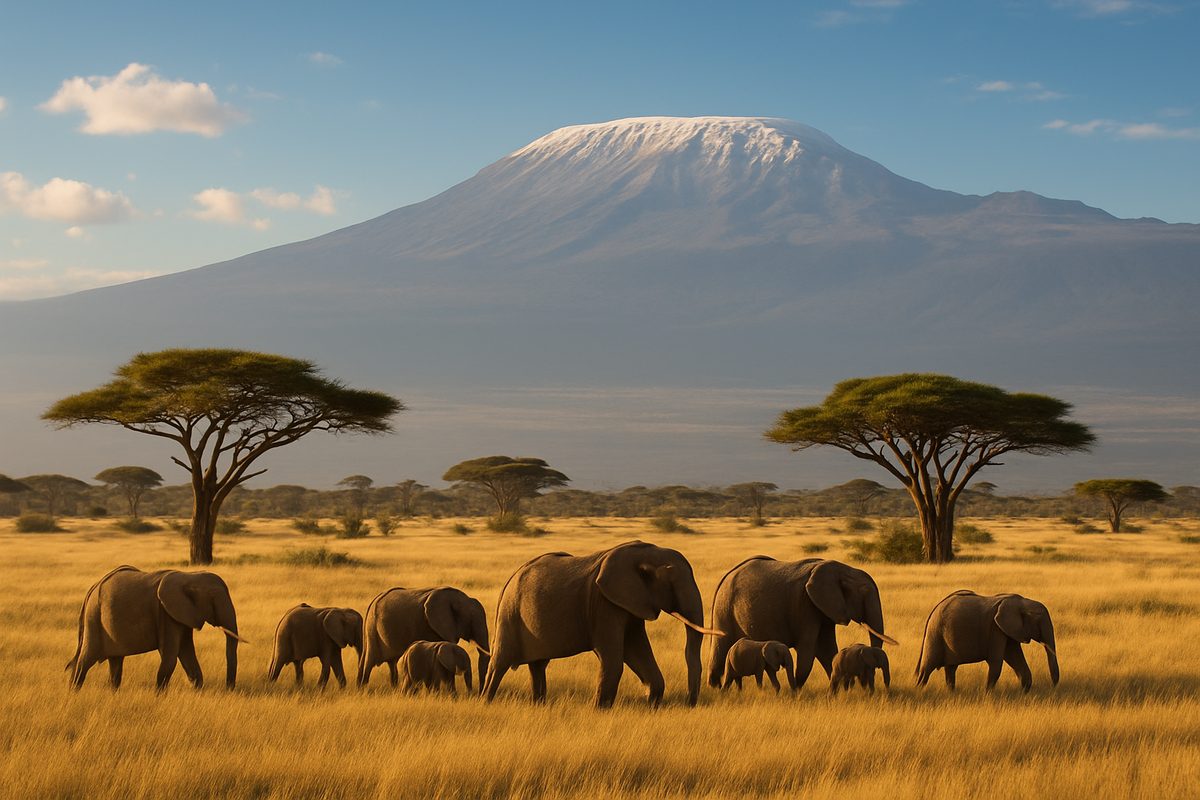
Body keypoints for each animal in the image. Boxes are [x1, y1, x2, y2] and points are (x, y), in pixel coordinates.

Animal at [67, 565, 244, 690]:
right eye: (213, 600)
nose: (229, 689)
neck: (189, 576)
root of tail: (93, 587)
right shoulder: (165, 613)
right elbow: (171, 656)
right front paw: (159, 696)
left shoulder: (182, 615)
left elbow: (186, 653)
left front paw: (198, 692)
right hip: (94, 618)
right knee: (86, 660)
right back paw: (74, 693)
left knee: (116, 662)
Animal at [358, 585, 490, 690]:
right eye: (470, 621)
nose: (479, 695)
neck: (461, 598)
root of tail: (374, 600)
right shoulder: (435, 627)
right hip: (372, 628)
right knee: (369, 662)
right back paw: (363, 690)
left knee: (391, 663)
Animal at [483, 540, 724, 708]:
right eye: (671, 582)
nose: (689, 703)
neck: (646, 552)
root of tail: (510, 579)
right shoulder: (604, 603)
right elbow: (613, 658)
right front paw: (599, 709)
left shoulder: (631, 604)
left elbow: (637, 652)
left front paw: (652, 705)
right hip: (510, 613)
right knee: (500, 664)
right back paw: (486, 702)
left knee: (538, 665)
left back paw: (539, 706)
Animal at [708, 557, 896, 692]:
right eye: (864, 593)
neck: (843, 569)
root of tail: (726, 576)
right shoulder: (805, 605)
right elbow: (809, 647)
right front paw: (798, 690)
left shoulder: (824, 609)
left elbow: (826, 648)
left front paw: (842, 688)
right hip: (724, 607)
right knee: (721, 646)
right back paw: (715, 688)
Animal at [916, 590, 1059, 692]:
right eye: (1038, 620)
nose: (1053, 688)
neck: (1022, 602)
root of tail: (934, 609)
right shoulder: (995, 629)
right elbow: (996, 662)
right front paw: (988, 694)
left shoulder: (1007, 630)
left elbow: (1015, 658)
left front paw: (1024, 693)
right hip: (935, 634)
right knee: (926, 669)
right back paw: (920, 692)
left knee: (951, 668)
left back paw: (951, 693)